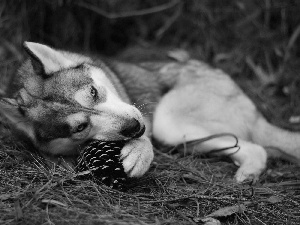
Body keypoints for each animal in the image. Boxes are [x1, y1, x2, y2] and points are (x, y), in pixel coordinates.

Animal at [0, 42, 300, 183]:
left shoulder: (143, 119)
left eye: (94, 92)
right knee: (255, 148)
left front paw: (139, 153)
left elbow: (145, 139)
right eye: (80, 127)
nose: (134, 127)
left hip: (168, 121)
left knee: (257, 147)